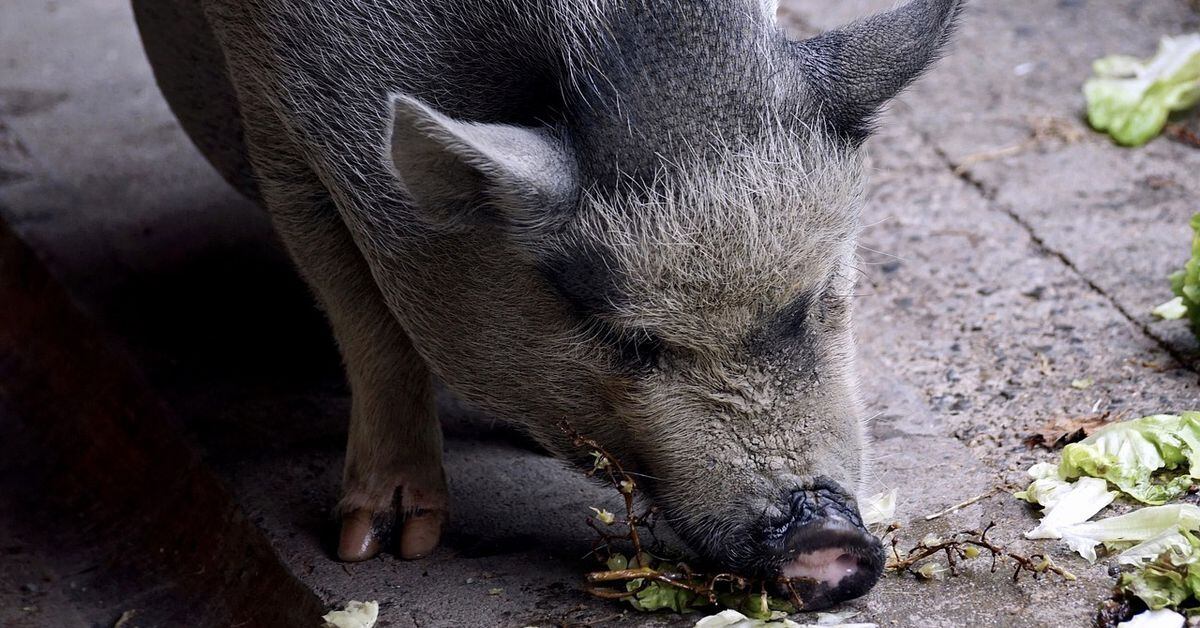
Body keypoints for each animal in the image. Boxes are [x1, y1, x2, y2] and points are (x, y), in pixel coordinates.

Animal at [132, 0, 961, 609]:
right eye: (623, 337)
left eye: (819, 296)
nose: (825, 539)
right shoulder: (276, 121)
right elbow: (368, 322)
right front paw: (381, 547)